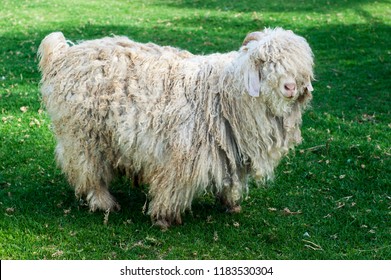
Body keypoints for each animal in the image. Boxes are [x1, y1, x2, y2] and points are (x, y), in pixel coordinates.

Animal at [38, 27, 316, 228]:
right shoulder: (181, 154)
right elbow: (172, 186)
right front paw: (163, 218)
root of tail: (62, 55)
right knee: (88, 171)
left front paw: (230, 203)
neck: (225, 91)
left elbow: (230, 179)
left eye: (300, 65)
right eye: (263, 61)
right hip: (84, 135)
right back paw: (104, 202)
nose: (290, 87)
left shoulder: (231, 152)